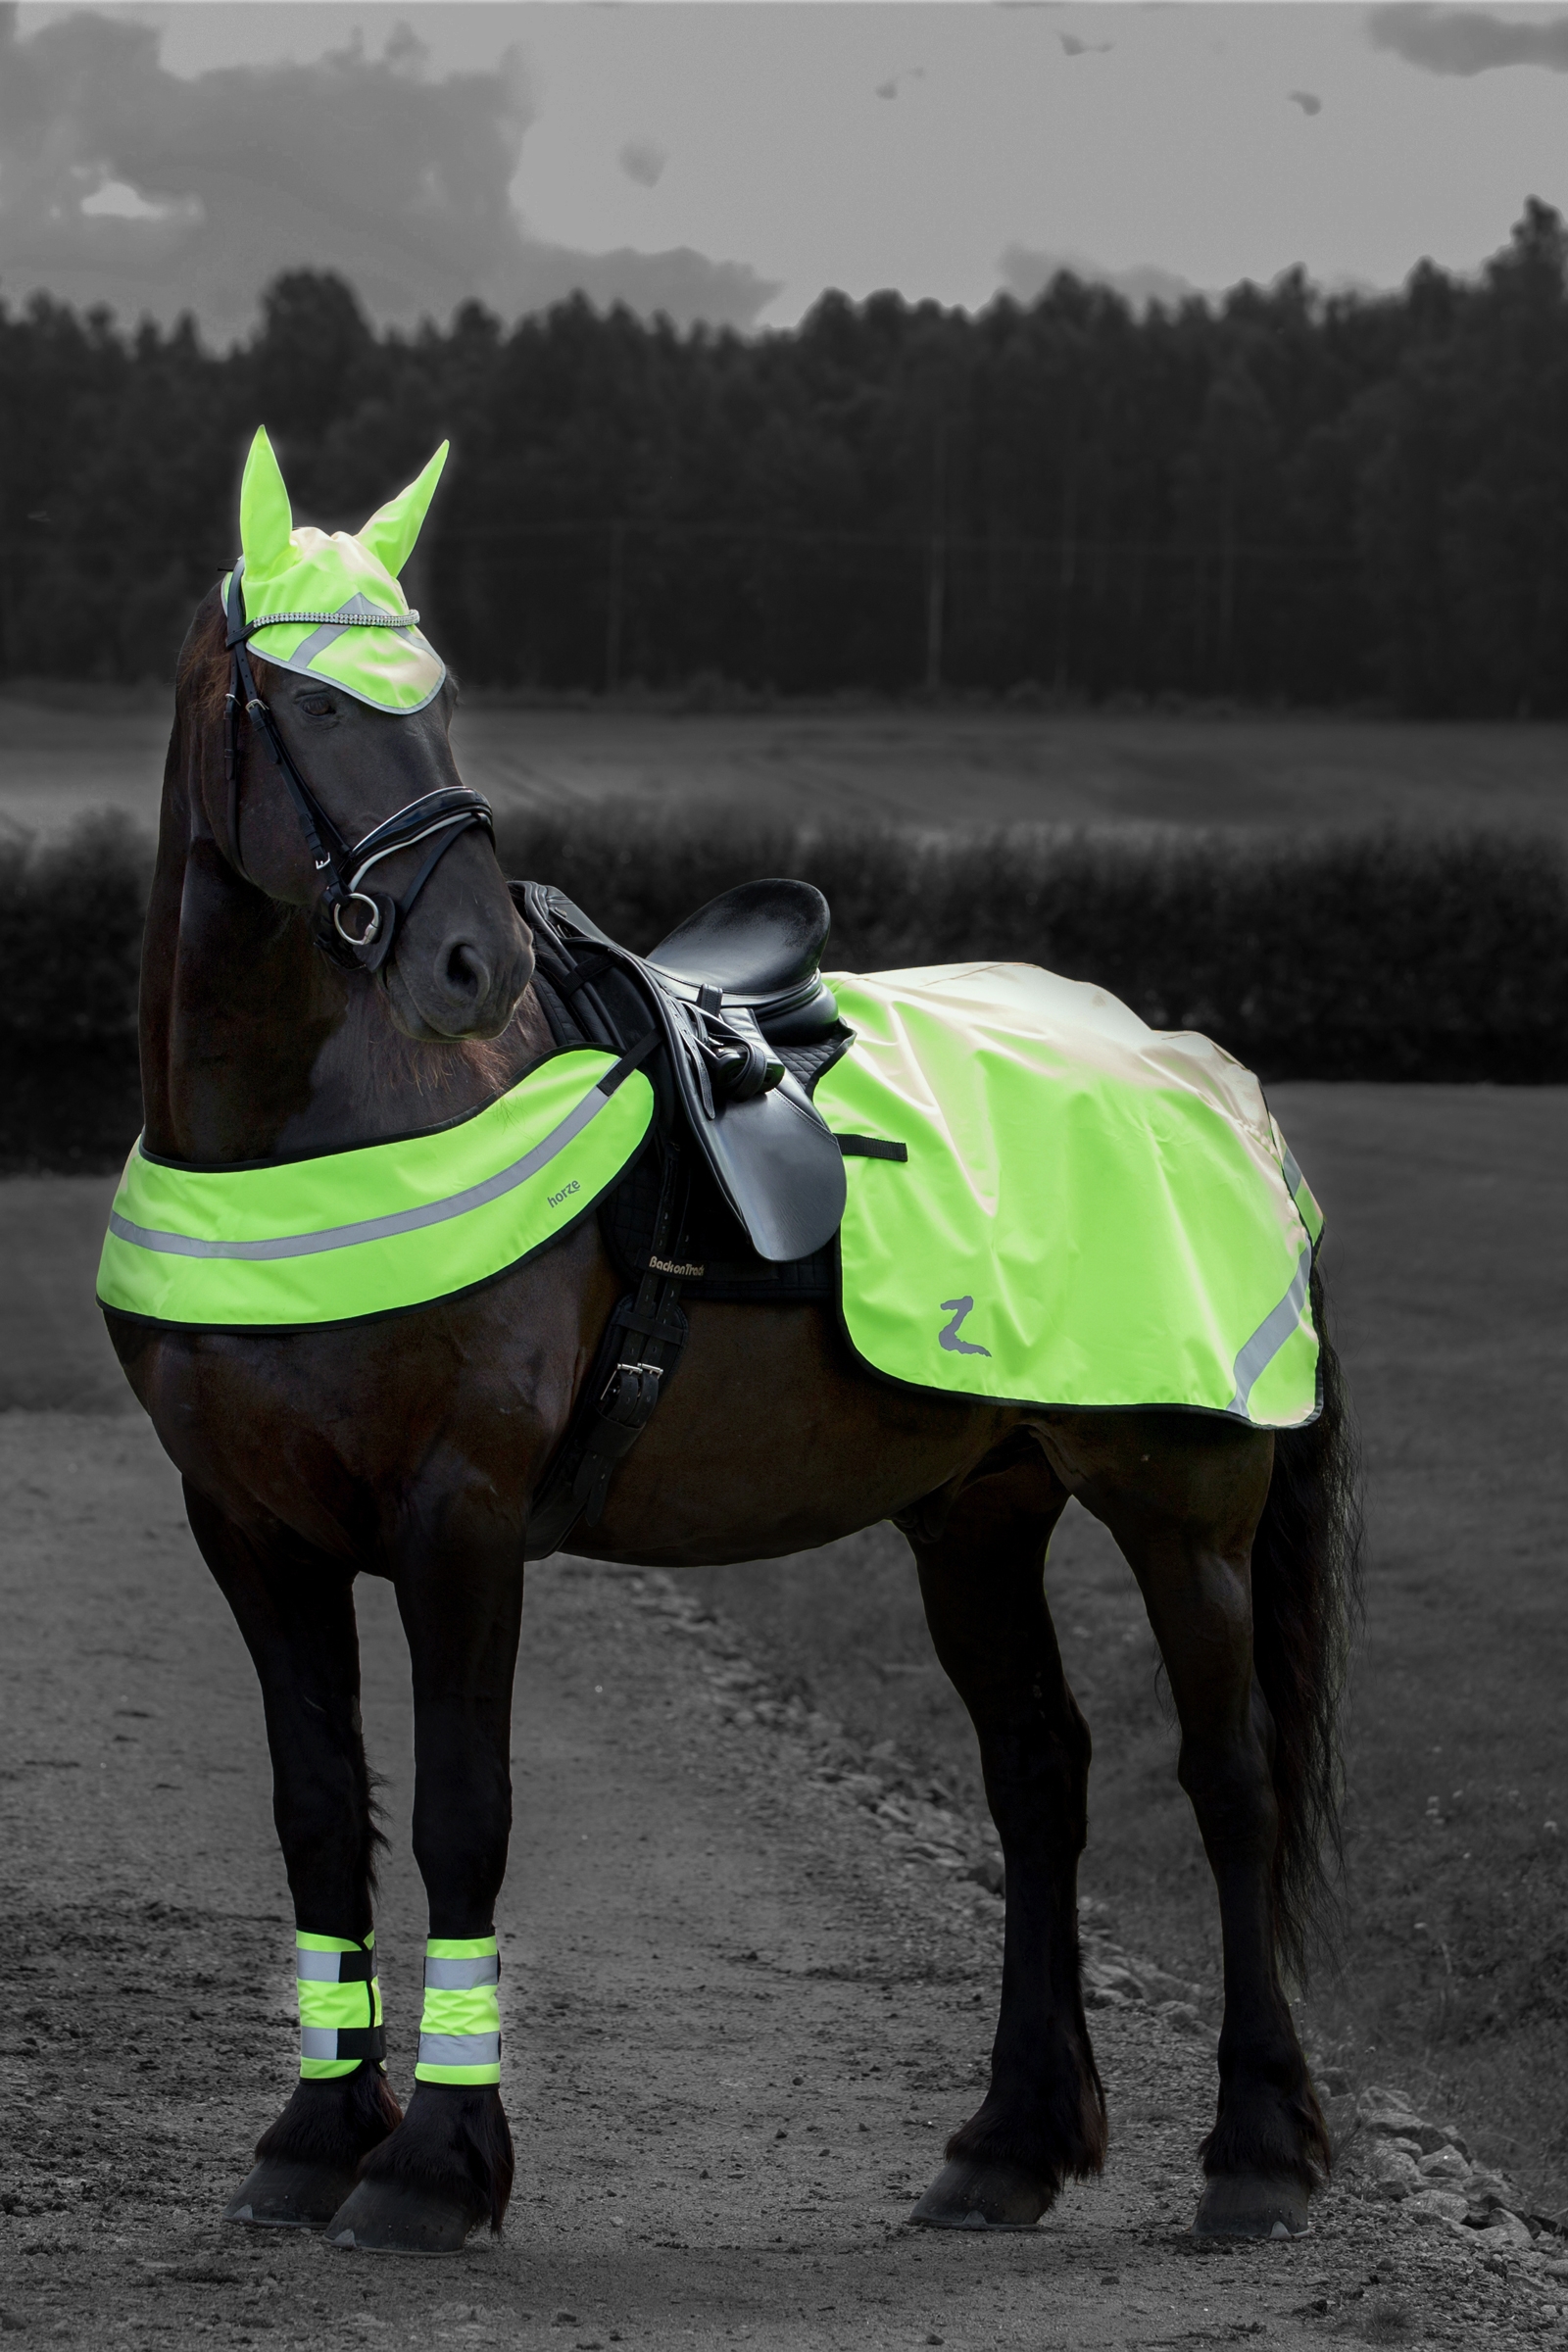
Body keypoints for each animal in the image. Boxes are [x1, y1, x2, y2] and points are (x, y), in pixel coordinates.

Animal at [102, 460, 1360, 2260]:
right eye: (310, 699)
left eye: (436, 694)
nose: (471, 963)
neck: (317, 1129)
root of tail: (1202, 1074)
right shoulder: (252, 1530)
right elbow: (320, 1814)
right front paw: (314, 2138)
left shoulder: (460, 1520)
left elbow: (461, 1812)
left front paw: (435, 2168)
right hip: (979, 1515)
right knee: (1040, 1778)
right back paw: (1009, 2144)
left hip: (1182, 1509)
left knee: (1229, 1782)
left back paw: (1255, 2151)